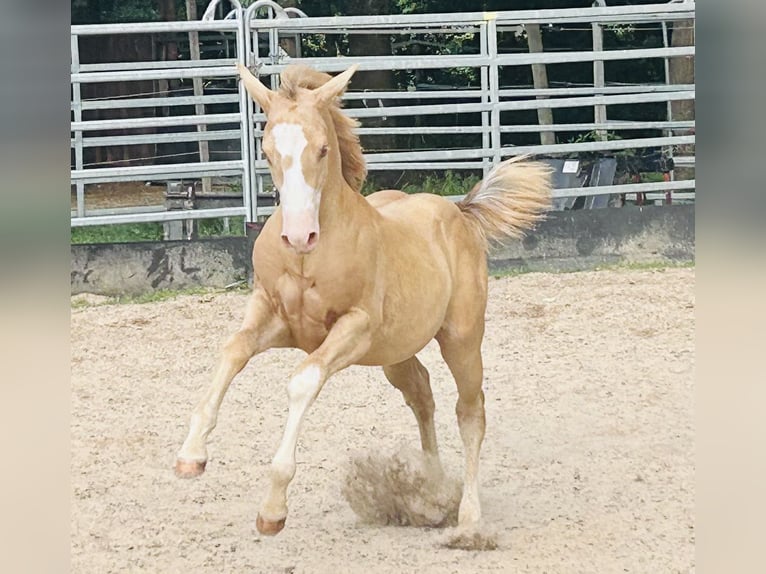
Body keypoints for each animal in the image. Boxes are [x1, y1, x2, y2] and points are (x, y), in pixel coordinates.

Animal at [178, 63, 556, 540]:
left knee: (470, 412)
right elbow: (232, 351)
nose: (299, 235)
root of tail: (458, 213)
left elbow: (302, 381)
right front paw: (190, 456)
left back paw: (468, 521)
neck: (308, 261)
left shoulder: (353, 329)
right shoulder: (275, 317)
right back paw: (431, 492)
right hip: (395, 352)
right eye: (266, 152)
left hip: (462, 339)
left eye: (322, 149)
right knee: (422, 395)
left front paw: (273, 509)